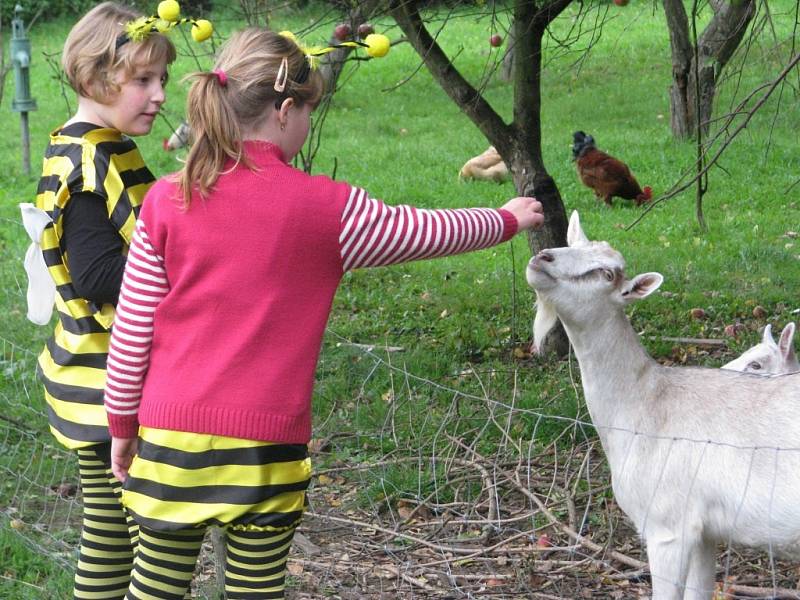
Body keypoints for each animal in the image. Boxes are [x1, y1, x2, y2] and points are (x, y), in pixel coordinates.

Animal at [524, 210, 800, 596]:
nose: (542, 258)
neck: (646, 405)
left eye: (607, 273)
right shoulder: (704, 533)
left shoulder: (667, 525)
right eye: (570, 244)